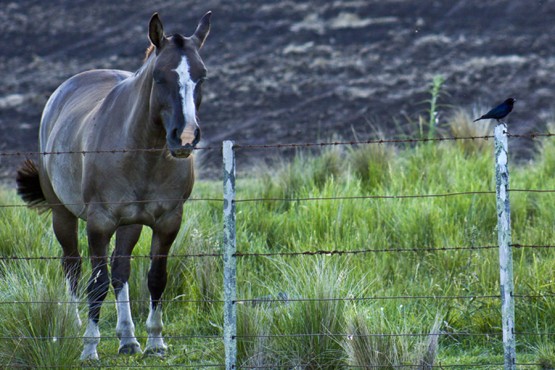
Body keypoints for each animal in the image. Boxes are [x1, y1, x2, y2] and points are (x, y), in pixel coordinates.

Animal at [15, 12, 212, 362]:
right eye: (159, 77)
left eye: (202, 76)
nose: (186, 137)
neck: (141, 153)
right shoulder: (99, 223)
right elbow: (97, 282)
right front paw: (89, 347)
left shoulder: (168, 222)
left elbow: (155, 279)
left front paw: (156, 342)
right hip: (62, 215)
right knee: (73, 267)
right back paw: (74, 324)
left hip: (130, 224)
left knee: (121, 272)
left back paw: (128, 338)